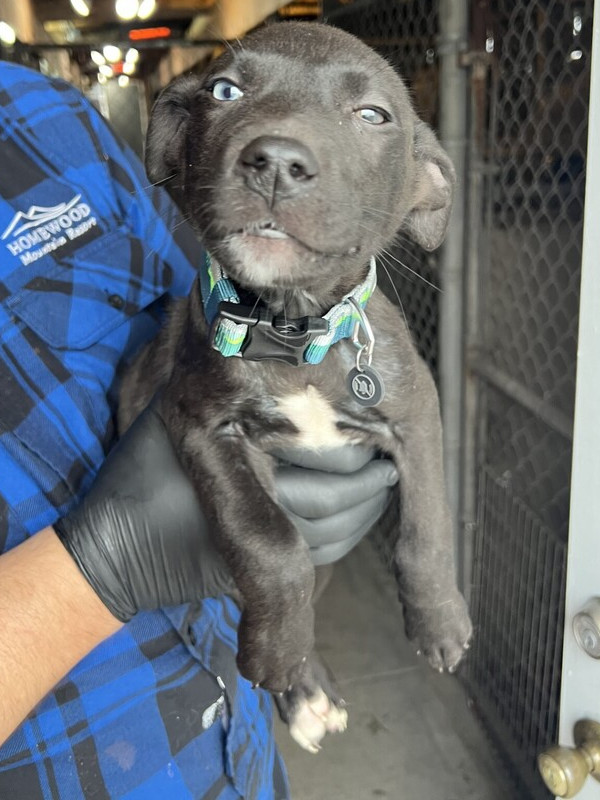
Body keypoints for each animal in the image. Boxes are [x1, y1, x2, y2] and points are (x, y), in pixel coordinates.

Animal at [118, 21, 474, 752]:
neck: (291, 329)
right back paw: (300, 682)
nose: (277, 160)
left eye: (373, 115)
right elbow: (271, 541)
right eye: (225, 91)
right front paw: (279, 653)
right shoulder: (200, 423)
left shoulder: (418, 413)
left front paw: (440, 619)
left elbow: (426, 524)